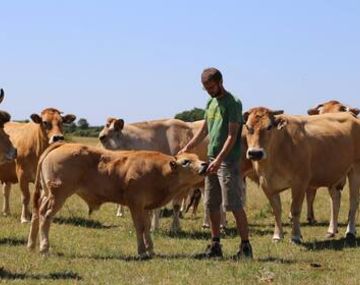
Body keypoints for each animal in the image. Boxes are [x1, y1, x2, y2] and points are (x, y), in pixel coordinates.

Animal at [27, 142, 208, 258]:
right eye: (186, 162)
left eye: (197, 157)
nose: (205, 164)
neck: (160, 171)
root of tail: (63, 145)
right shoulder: (135, 204)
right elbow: (140, 227)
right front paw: (142, 251)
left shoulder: (145, 206)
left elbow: (147, 227)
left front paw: (150, 249)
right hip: (58, 195)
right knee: (46, 216)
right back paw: (44, 248)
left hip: (47, 194)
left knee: (36, 213)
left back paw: (31, 245)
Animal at [243, 106, 360, 242]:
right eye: (248, 127)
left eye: (269, 127)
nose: (255, 153)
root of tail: (350, 115)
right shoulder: (266, 184)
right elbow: (276, 210)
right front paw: (277, 236)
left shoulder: (300, 182)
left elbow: (295, 209)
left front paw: (296, 236)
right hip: (334, 173)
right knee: (335, 200)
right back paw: (331, 231)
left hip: (355, 170)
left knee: (353, 201)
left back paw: (350, 231)